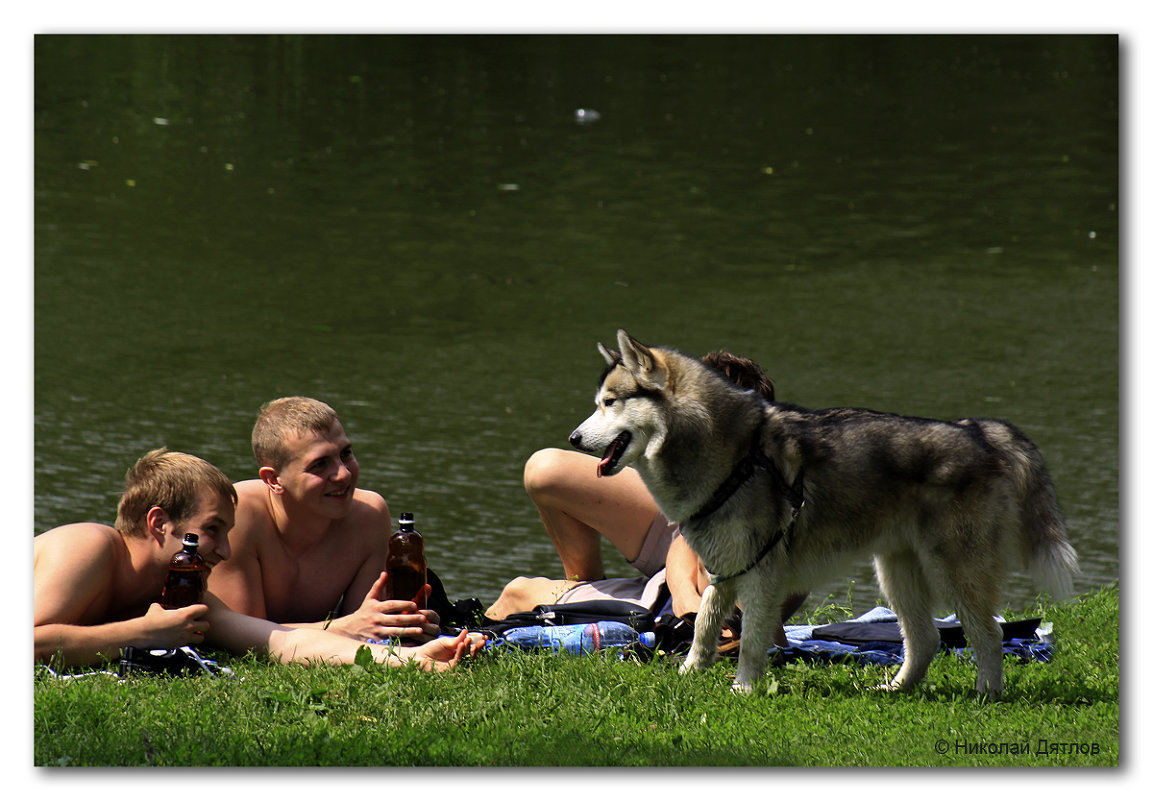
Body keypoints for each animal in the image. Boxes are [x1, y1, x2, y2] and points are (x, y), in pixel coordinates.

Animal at [571, 329, 1074, 696]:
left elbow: (750, 640)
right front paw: (690, 674)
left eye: (609, 403)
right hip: (896, 571)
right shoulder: (725, 568)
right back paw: (895, 689)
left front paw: (743, 689)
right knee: (926, 638)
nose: (573, 438)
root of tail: (981, 432)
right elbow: (705, 625)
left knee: (988, 635)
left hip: (954, 571)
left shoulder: (761, 574)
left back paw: (986, 695)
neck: (737, 453)